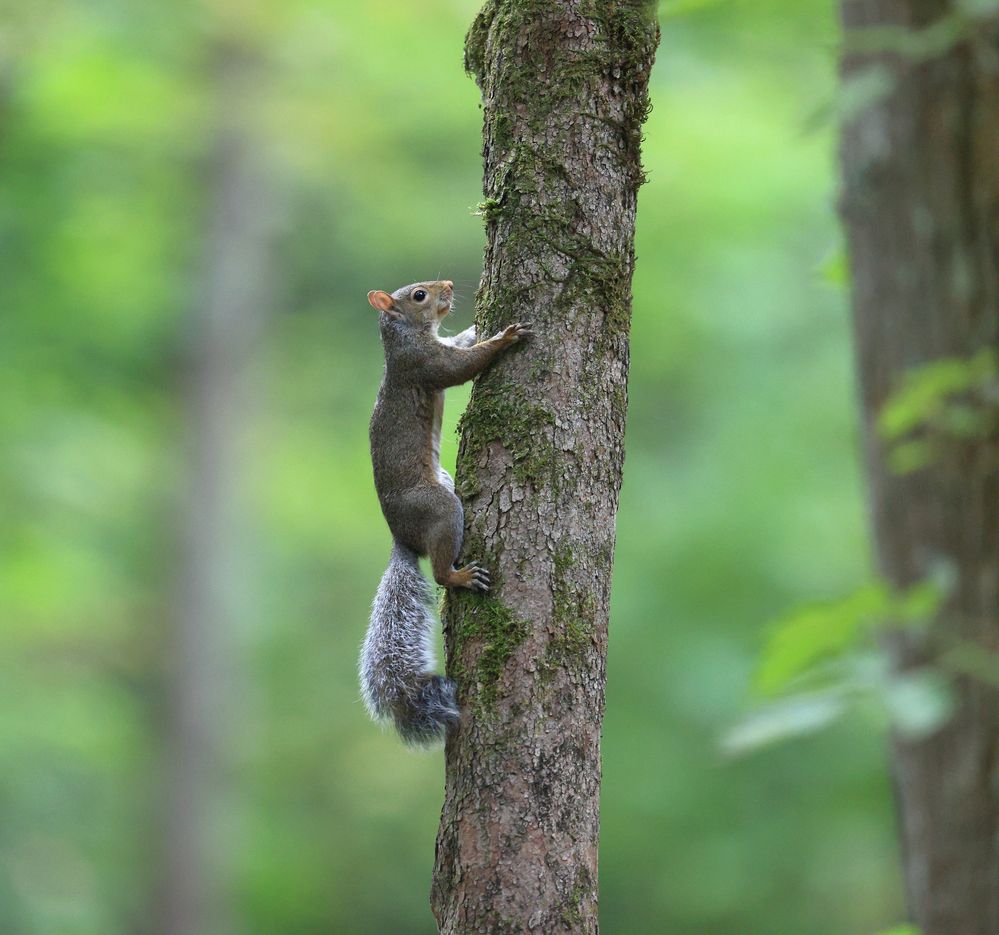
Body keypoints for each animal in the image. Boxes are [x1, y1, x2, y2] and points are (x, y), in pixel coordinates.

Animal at [359, 279, 532, 745]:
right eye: (419, 295)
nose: (450, 286)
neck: (404, 337)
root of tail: (401, 535)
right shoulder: (424, 364)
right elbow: (460, 367)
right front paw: (504, 337)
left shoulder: (435, 349)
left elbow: (459, 344)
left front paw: (476, 327)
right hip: (440, 509)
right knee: (439, 573)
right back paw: (460, 576)